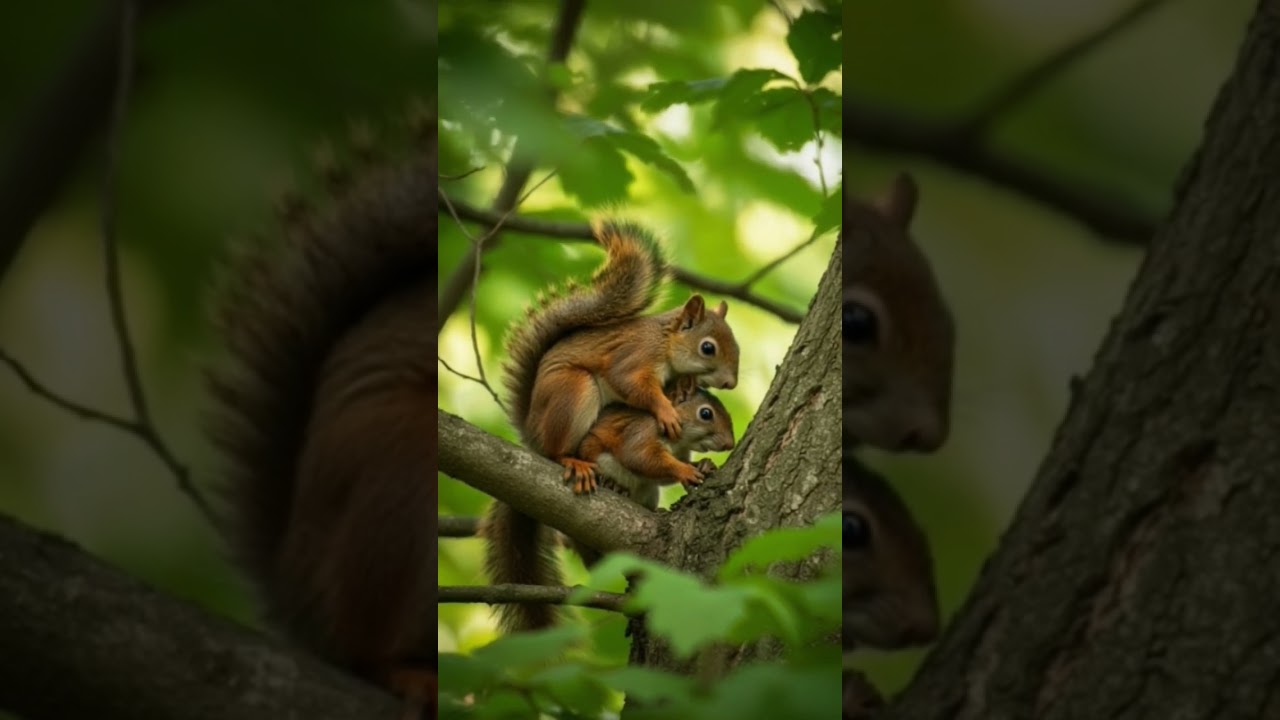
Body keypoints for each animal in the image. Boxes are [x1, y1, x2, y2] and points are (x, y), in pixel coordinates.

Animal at [484, 222, 741, 633]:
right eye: (708, 348)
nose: (731, 383)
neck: (665, 342)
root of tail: (533, 433)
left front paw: (699, 464)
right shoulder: (634, 359)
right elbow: (635, 401)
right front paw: (670, 424)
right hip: (574, 394)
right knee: (560, 450)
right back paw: (579, 465)